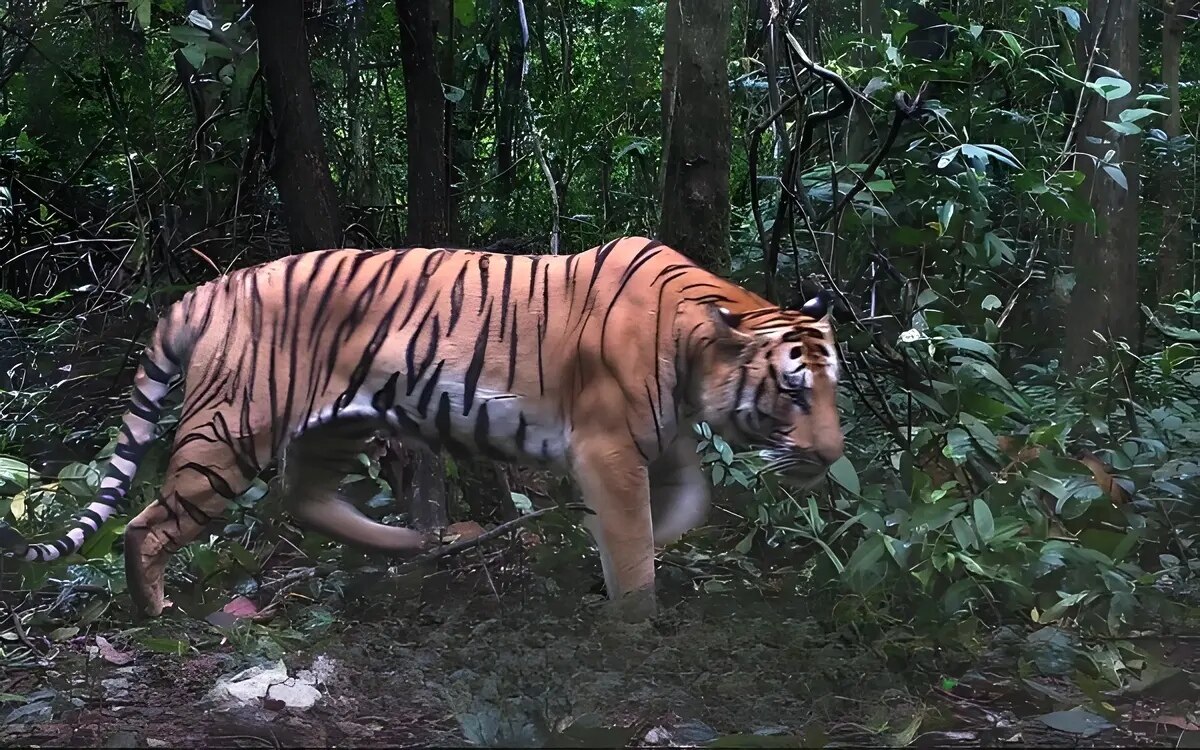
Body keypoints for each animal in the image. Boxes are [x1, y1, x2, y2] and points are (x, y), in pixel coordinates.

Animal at [0, 236, 844, 619]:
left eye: (833, 388)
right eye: (794, 391)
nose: (834, 455)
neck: (700, 346)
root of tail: (209, 289)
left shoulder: (659, 442)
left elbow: (684, 507)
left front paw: (624, 547)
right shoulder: (608, 446)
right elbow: (635, 542)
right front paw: (635, 616)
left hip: (335, 424)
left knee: (304, 501)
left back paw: (430, 543)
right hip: (229, 433)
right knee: (149, 523)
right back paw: (155, 609)